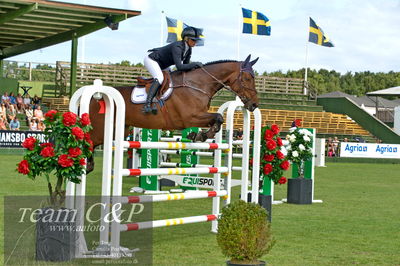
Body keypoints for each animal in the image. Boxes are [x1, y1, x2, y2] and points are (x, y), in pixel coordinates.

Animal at [86, 54, 260, 172]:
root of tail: (97, 96)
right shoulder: (189, 118)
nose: (254, 104)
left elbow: (217, 120)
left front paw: (197, 135)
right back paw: (87, 165)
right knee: (89, 141)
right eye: (247, 78)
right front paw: (200, 135)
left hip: (121, 130)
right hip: (100, 130)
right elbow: (218, 117)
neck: (197, 85)